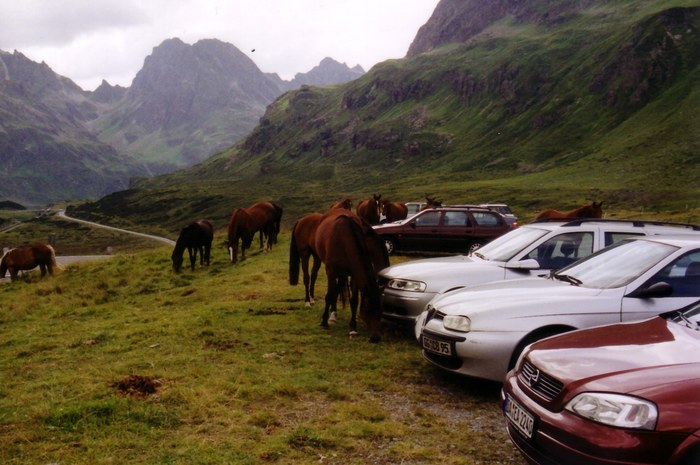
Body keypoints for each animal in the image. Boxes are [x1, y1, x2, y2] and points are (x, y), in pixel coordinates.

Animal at [314, 208, 392, 342]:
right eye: (366, 310)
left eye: (381, 311)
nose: (375, 338)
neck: (343, 239)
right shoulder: (331, 272)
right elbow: (329, 295)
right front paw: (324, 322)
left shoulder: (354, 274)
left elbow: (354, 300)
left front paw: (353, 328)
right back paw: (331, 315)